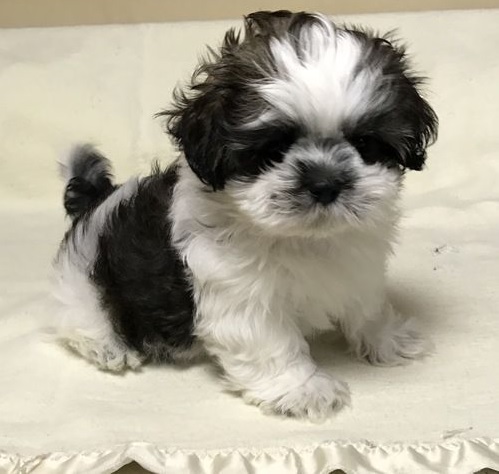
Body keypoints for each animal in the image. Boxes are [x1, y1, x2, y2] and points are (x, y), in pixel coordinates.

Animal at [52, 10, 440, 418]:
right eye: (273, 149)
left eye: (364, 142)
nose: (324, 182)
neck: (304, 238)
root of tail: (97, 201)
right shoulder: (238, 294)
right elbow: (269, 341)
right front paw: (302, 388)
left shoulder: (359, 270)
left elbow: (367, 308)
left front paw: (389, 338)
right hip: (83, 284)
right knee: (77, 318)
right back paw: (105, 346)